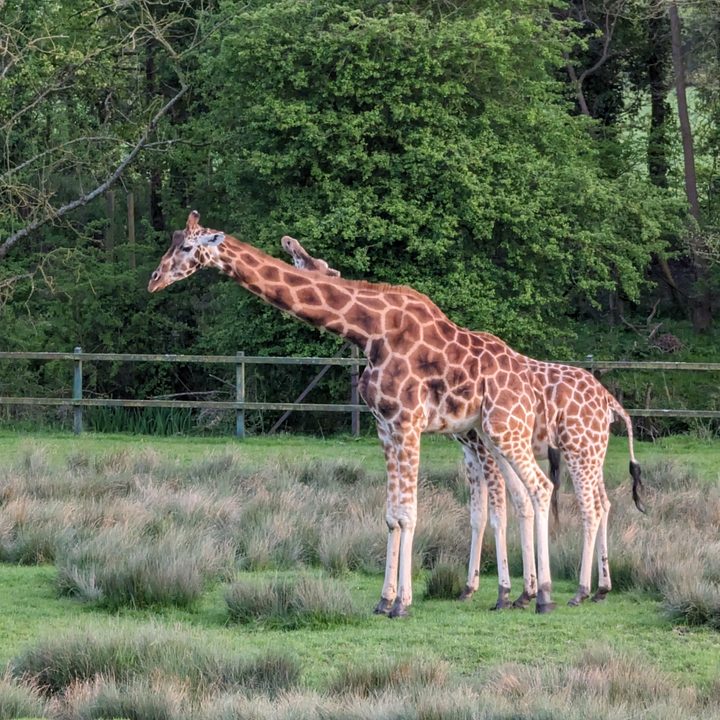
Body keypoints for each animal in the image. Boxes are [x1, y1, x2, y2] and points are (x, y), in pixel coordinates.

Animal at [149, 211, 559, 616]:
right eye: (172, 242)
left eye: (186, 247)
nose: (154, 280)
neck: (371, 332)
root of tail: (528, 380)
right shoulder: (385, 426)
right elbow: (392, 516)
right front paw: (384, 600)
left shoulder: (407, 423)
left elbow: (409, 513)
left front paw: (403, 603)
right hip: (492, 434)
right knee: (520, 495)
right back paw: (518, 593)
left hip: (501, 430)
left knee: (539, 488)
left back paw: (541, 596)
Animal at [280, 236, 645, 608]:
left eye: (315, 263)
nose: (290, 243)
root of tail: (611, 403)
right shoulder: (471, 450)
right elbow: (481, 514)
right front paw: (480, 588)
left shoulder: (482, 448)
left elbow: (499, 514)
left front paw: (507, 592)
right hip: (591, 451)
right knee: (603, 503)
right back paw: (600, 588)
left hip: (578, 449)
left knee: (589, 507)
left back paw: (580, 591)